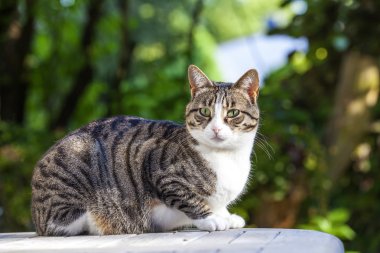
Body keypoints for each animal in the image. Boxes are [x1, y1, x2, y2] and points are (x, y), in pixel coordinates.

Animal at [31, 64, 260, 235]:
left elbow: (219, 205)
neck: (227, 158)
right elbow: (189, 199)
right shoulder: (159, 169)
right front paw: (211, 218)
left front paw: (226, 215)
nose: (216, 128)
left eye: (233, 113)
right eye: (204, 111)